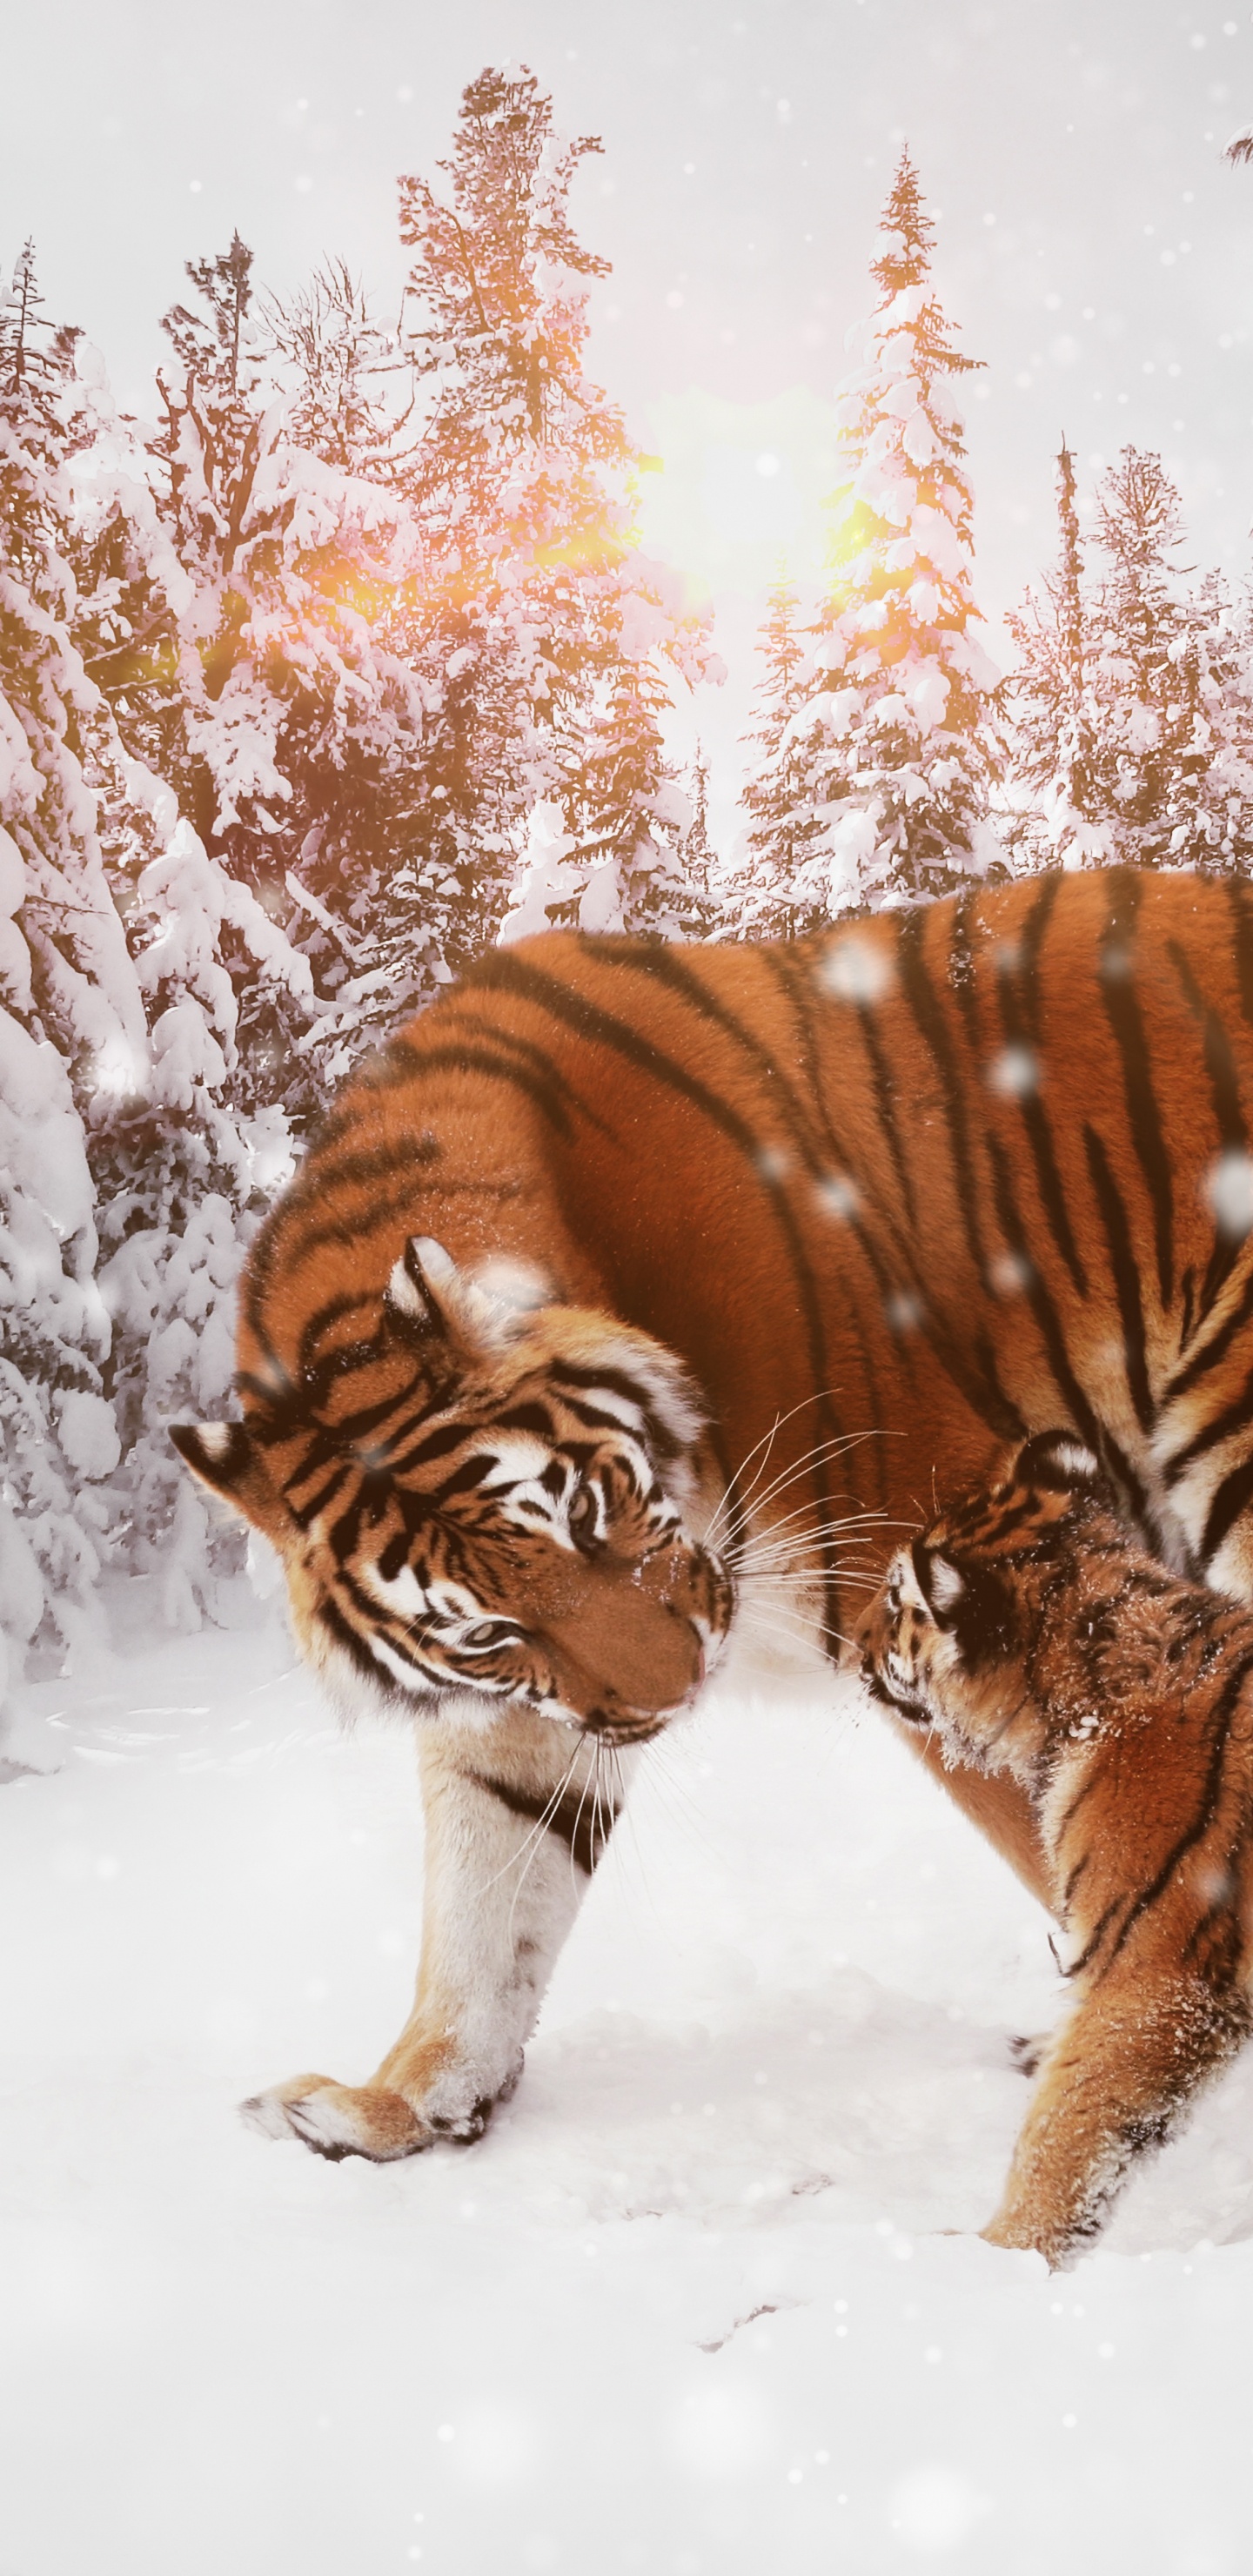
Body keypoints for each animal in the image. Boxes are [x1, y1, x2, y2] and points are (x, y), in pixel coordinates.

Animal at [173, 864, 1253, 2167]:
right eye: (487, 1631)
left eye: (589, 1511)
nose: (678, 1692)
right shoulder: (526, 1711)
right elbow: (484, 1903)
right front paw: (397, 2104)